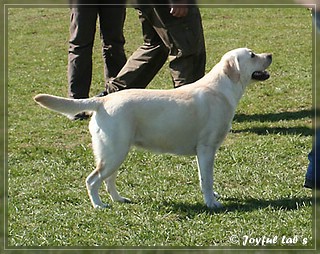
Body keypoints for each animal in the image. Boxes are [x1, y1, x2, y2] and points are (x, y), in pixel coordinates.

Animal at [33, 47, 272, 208]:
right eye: (252, 55)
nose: (269, 55)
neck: (222, 89)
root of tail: (102, 101)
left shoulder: (203, 153)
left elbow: (204, 178)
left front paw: (213, 197)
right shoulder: (206, 149)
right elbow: (207, 180)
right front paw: (211, 203)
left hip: (115, 152)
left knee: (108, 180)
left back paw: (119, 199)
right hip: (113, 153)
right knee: (92, 180)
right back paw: (99, 205)